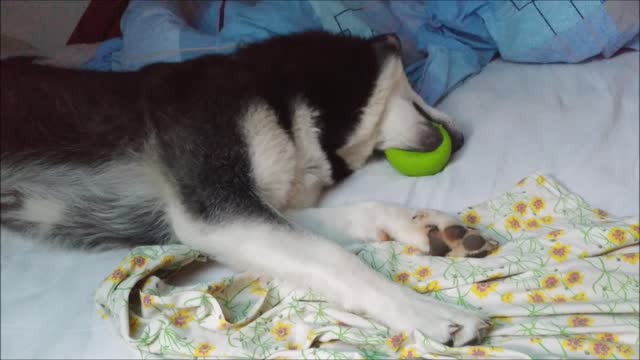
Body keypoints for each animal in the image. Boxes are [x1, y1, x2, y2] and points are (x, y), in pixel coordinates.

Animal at [0, 32, 498, 344]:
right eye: (418, 94)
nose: (463, 137)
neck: (285, 97)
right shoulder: (215, 207)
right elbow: (336, 260)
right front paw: (430, 313)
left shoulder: (243, 211)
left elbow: (354, 215)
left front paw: (425, 227)